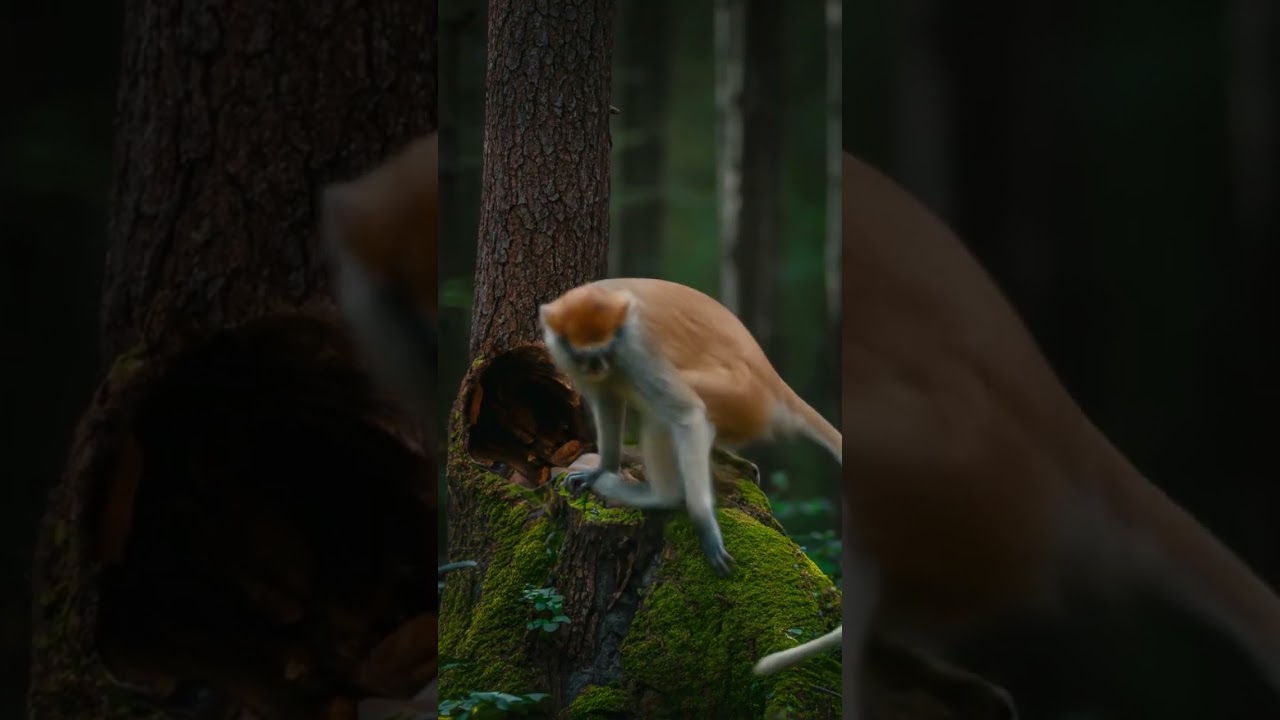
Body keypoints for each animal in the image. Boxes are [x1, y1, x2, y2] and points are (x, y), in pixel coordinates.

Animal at [538, 278, 843, 577]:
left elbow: (688, 415)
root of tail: (774, 384)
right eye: (584, 356)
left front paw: (704, 523)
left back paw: (662, 497)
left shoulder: (635, 351)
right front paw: (601, 470)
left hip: (740, 399)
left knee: (659, 412)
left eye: (604, 351)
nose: (596, 368)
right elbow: (607, 400)